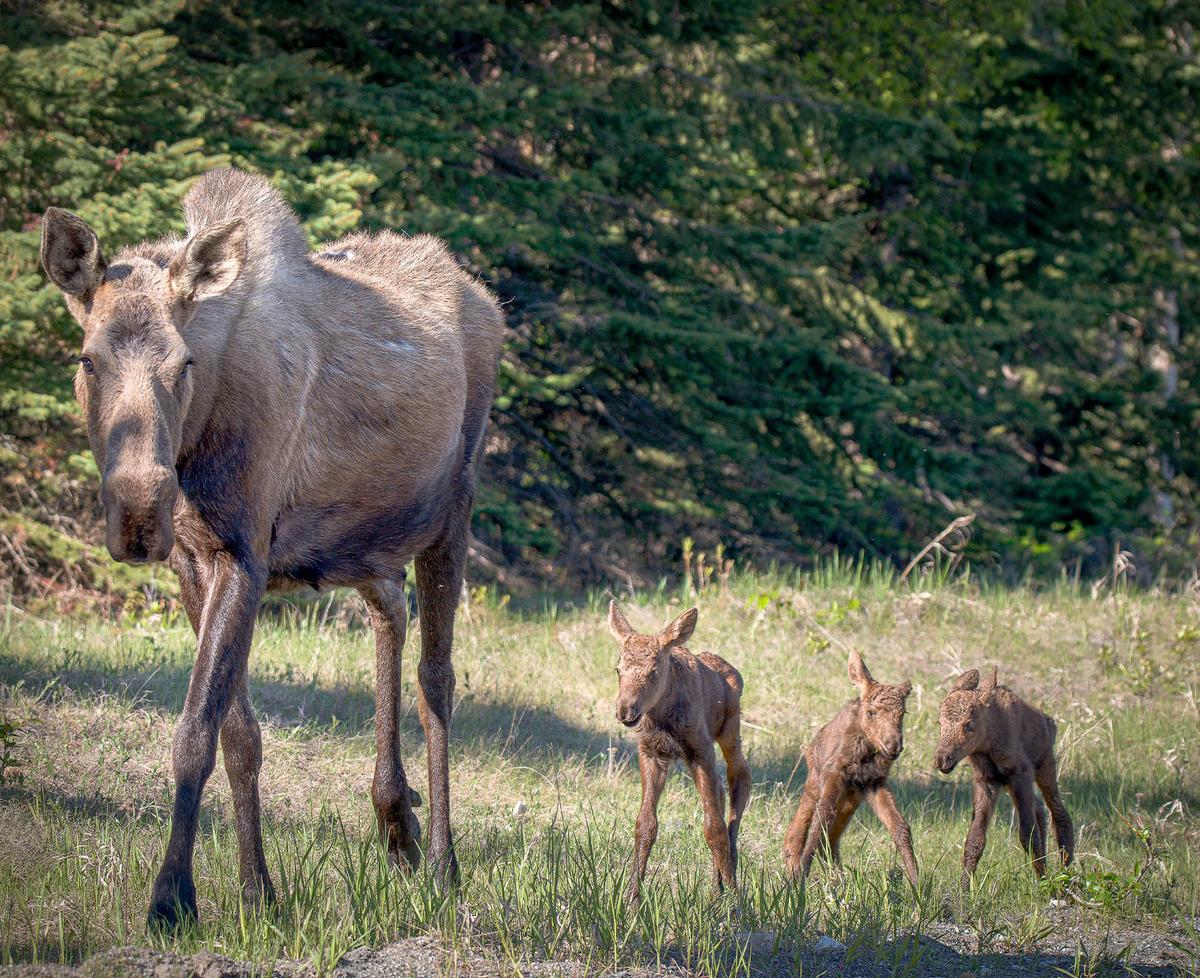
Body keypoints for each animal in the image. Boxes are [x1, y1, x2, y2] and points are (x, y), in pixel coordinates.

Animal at [39, 168, 504, 929]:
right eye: (86, 359)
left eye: (183, 362)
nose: (138, 510)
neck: (198, 438)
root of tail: (488, 302)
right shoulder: (193, 560)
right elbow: (239, 735)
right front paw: (257, 891)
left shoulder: (245, 553)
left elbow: (194, 735)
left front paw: (174, 897)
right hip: (361, 540)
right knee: (390, 611)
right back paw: (394, 817)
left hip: (452, 511)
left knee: (437, 678)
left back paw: (441, 860)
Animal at [608, 601, 751, 904]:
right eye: (618, 669)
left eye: (653, 672)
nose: (625, 710)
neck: (663, 717)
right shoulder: (651, 752)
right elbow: (645, 824)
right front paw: (632, 898)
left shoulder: (700, 750)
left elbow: (713, 829)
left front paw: (737, 903)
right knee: (721, 788)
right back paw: (717, 885)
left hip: (729, 732)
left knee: (740, 777)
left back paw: (729, 870)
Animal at [783, 651, 918, 887]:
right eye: (871, 712)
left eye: (903, 713)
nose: (894, 745)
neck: (863, 756)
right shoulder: (834, 775)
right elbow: (820, 821)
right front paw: (800, 881)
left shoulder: (874, 783)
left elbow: (900, 826)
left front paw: (918, 884)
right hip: (815, 785)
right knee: (798, 829)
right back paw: (792, 866)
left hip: (851, 800)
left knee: (831, 840)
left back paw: (837, 878)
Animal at [935, 667, 1075, 886]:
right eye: (939, 723)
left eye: (969, 725)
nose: (942, 759)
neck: (987, 744)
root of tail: (1050, 722)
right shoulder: (986, 781)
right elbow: (975, 839)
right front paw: (964, 888)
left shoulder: (1020, 775)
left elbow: (1027, 834)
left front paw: (1047, 885)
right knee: (1040, 809)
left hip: (1045, 767)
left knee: (1059, 813)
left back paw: (1065, 873)